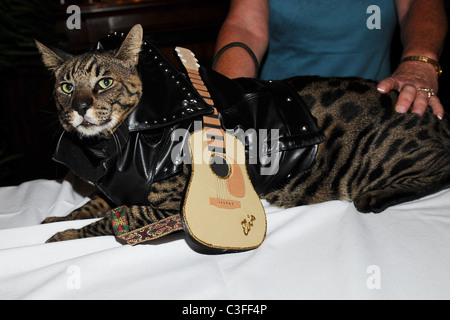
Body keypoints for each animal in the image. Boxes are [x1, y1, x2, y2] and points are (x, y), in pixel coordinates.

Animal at [35, 25, 450, 242]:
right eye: (66, 87)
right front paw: (55, 221)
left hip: (380, 160)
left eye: (104, 82)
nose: (80, 107)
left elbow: (112, 218)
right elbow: (91, 205)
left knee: (441, 169)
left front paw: (61, 237)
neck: (119, 148)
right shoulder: (116, 190)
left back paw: (376, 196)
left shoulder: (170, 206)